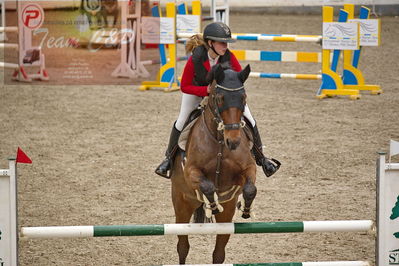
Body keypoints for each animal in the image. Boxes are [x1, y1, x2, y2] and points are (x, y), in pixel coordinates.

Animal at [170, 62, 258, 264]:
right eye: (220, 98)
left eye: (243, 98)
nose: (233, 142)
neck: (219, 140)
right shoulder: (191, 171)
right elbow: (208, 186)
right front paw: (213, 205)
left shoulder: (248, 169)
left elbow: (250, 187)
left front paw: (246, 207)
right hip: (182, 205)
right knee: (182, 247)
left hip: (227, 215)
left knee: (218, 253)